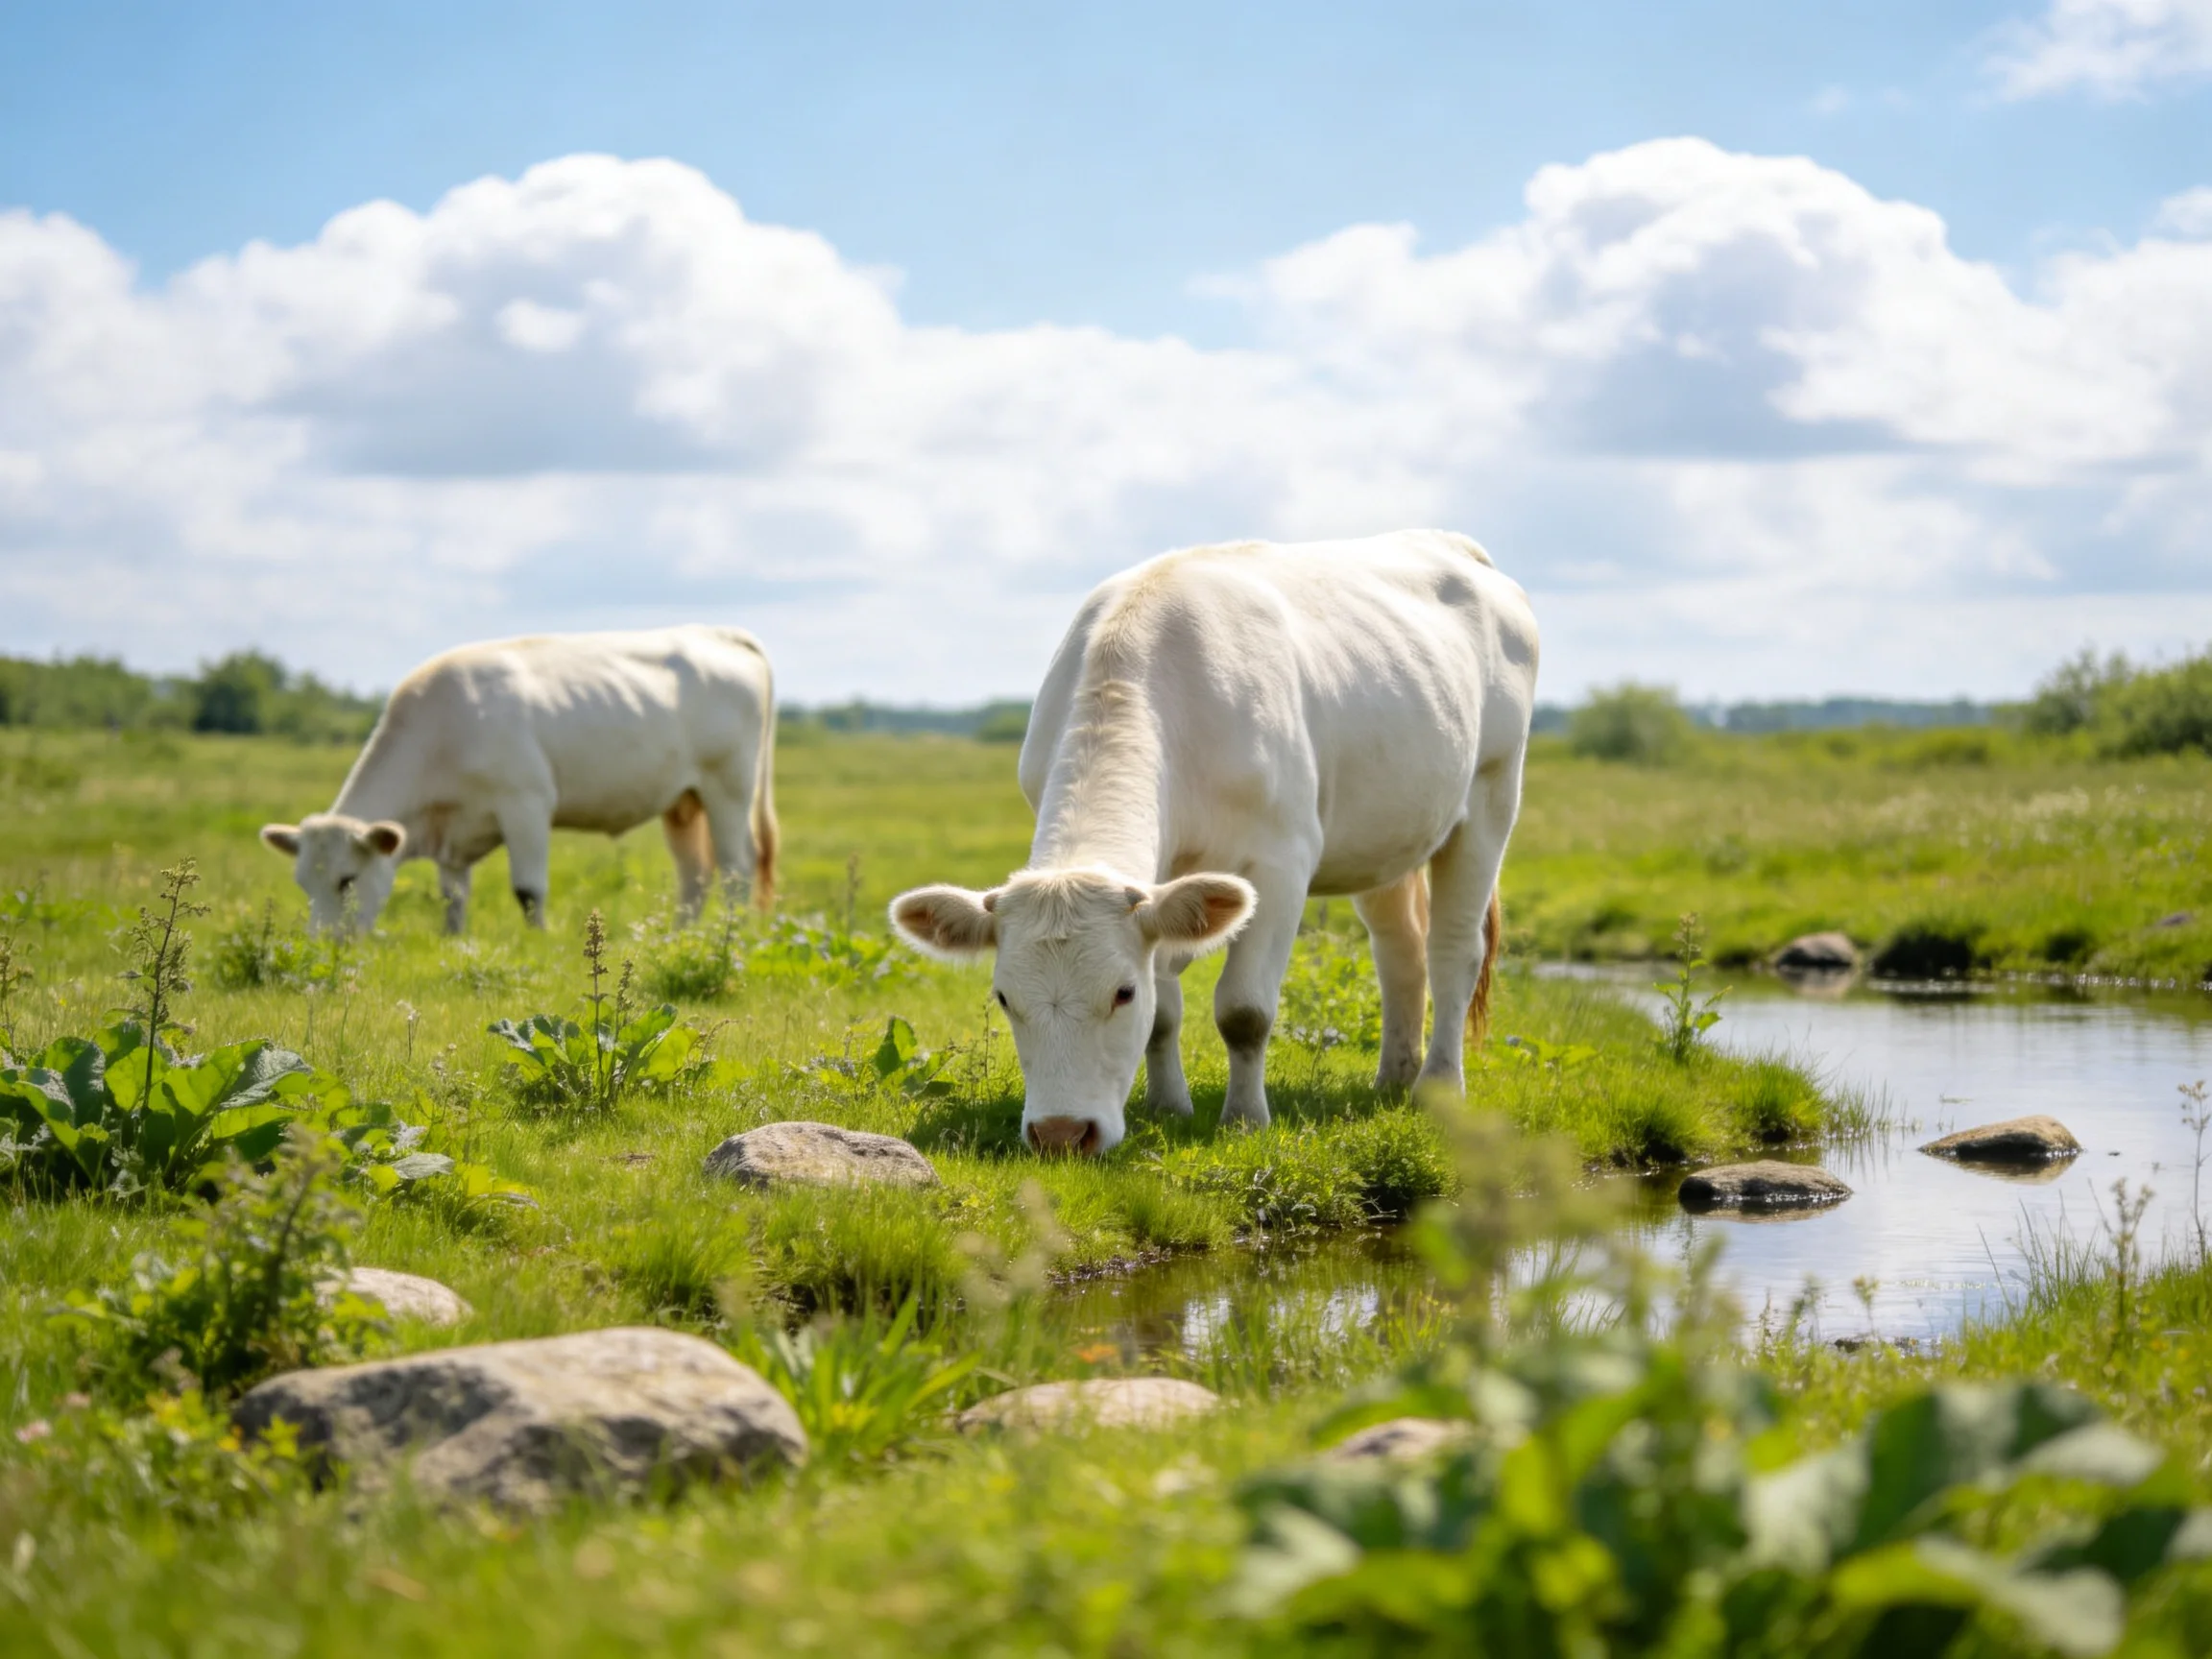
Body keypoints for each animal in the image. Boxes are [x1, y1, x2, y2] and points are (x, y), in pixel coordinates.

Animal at [260, 626, 778, 935]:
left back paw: (729, 934)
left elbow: (528, 890)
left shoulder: (526, 804)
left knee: (737, 866)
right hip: (682, 801)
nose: (321, 943)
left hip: (728, 787)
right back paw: (678, 937)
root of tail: (718, 634)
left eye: (347, 880)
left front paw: (539, 940)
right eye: (304, 883)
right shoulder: (453, 834)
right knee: (695, 874)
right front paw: (453, 940)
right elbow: (453, 896)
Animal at [889, 530, 1538, 1156]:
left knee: (1453, 949)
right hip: (1386, 831)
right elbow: (1167, 1015)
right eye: (1003, 997)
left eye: (1122, 993)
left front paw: (1245, 1119)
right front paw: (1167, 1107)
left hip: (1492, 794)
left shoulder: (1282, 861)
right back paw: (1394, 1077)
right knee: (1399, 948)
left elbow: (1244, 1010)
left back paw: (1439, 1086)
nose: (1061, 1135)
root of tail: (1454, 545)